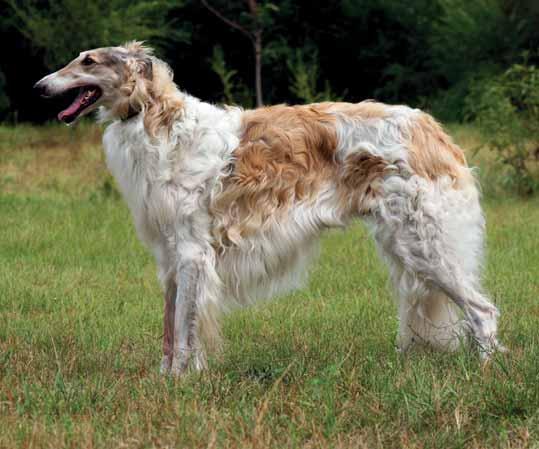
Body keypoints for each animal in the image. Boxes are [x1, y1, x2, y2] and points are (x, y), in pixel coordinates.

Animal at [35, 42, 504, 374]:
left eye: (88, 60)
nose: (39, 86)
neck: (156, 118)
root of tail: (432, 128)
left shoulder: (191, 253)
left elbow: (185, 332)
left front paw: (183, 382)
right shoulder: (169, 258)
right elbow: (169, 330)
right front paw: (165, 380)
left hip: (424, 244)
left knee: (484, 313)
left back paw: (483, 373)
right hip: (405, 243)